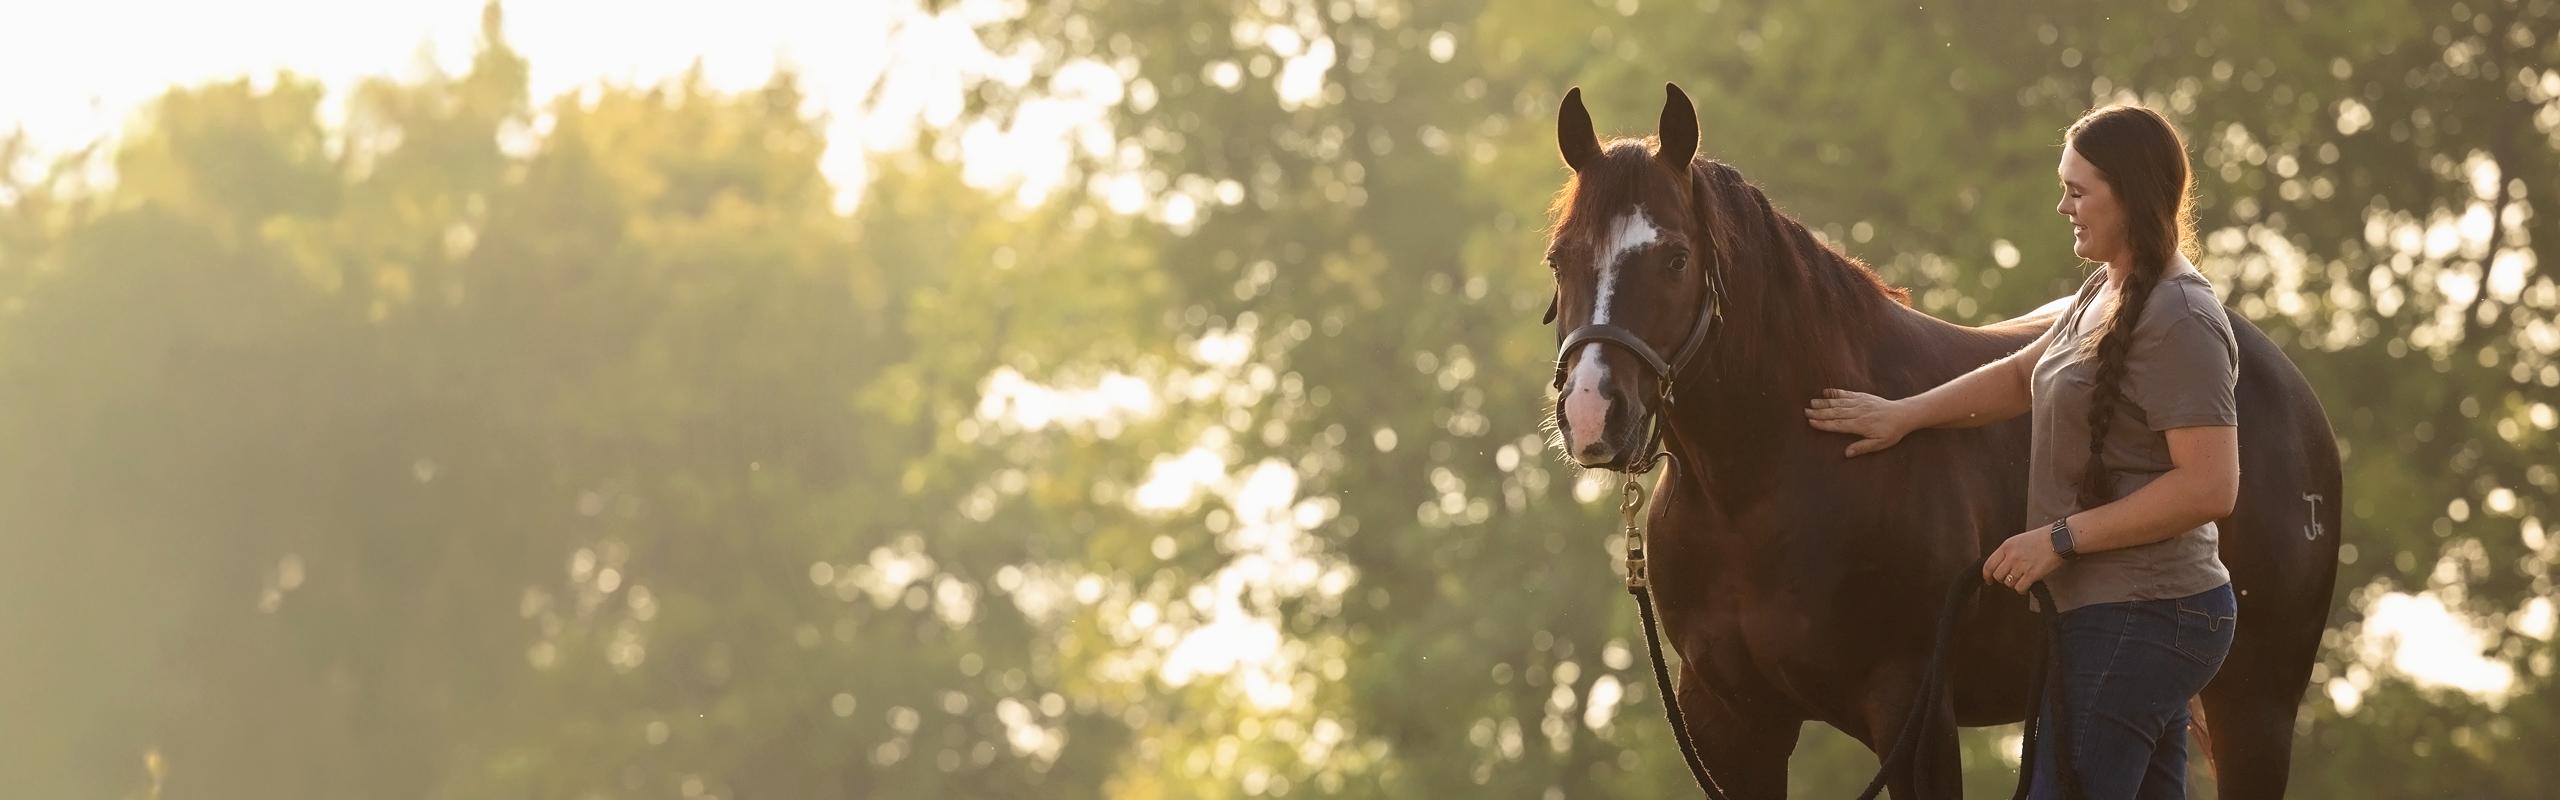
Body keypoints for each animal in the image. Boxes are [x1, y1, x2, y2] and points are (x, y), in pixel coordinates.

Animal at [1536, 83, 2343, 799]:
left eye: (1674, 257)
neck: (1767, 482)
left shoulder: (1911, 712)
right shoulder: (1733, 723)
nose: (1592, 412)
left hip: (2254, 707)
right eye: (1558, 257)